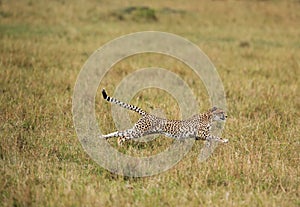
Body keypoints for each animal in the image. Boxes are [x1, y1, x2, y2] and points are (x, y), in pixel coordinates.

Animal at [99, 89, 229, 146]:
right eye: (221, 112)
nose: (227, 115)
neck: (209, 117)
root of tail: (147, 114)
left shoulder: (198, 136)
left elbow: (210, 139)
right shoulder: (201, 133)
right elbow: (214, 136)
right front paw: (224, 140)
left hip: (139, 130)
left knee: (119, 132)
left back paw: (104, 137)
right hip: (139, 131)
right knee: (123, 135)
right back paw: (119, 143)